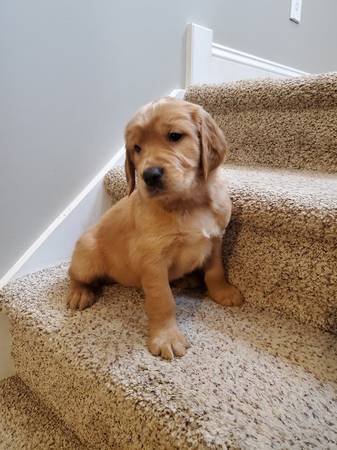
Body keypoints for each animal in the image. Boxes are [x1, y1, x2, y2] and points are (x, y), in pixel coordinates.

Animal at [67, 97, 242, 358]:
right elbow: (162, 300)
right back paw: (80, 293)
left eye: (175, 136)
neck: (187, 203)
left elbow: (215, 270)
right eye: (137, 148)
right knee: (74, 274)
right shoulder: (153, 260)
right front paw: (166, 337)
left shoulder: (216, 238)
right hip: (86, 255)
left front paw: (223, 292)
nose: (149, 175)